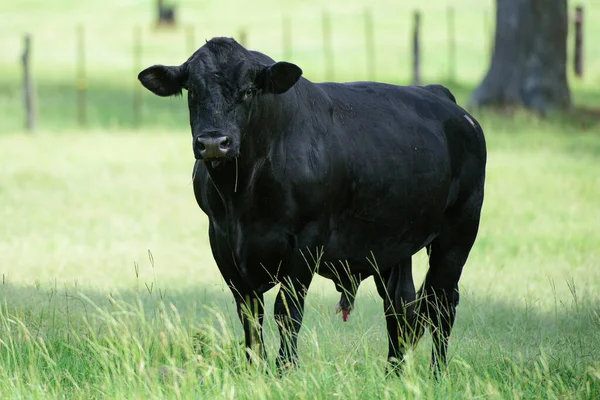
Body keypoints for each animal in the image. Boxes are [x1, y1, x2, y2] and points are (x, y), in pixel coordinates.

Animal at [138, 36, 486, 372]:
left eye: (248, 90)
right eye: (192, 91)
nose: (213, 143)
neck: (243, 195)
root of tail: (441, 96)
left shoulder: (306, 241)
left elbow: (286, 311)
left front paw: (284, 370)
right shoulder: (222, 241)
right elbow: (249, 313)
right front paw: (254, 370)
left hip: (459, 232)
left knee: (441, 303)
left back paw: (436, 374)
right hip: (393, 245)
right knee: (400, 307)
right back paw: (393, 375)